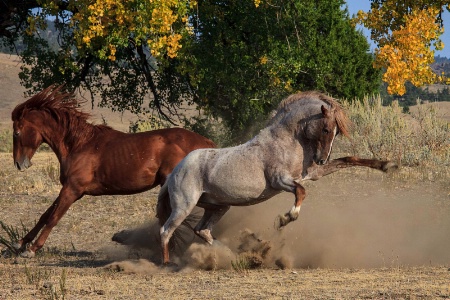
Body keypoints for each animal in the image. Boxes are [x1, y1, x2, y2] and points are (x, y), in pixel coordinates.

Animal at [10, 85, 214, 258]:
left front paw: (31, 249)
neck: (78, 145)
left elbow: (53, 217)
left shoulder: (72, 190)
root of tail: (205, 142)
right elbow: (45, 215)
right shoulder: (69, 189)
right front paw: (20, 242)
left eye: (17, 133)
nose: (19, 164)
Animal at [158, 92, 398, 264]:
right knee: (166, 231)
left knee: (202, 230)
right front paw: (285, 218)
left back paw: (234, 254)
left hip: (217, 206)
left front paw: (387, 165)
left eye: (336, 132)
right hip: (184, 206)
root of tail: (174, 172)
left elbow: (349, 159)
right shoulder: (280, 181)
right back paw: (167, 264)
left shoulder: (311, 173)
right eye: (326, 129)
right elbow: (301, 191)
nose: (321, 159)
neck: (286, 140)